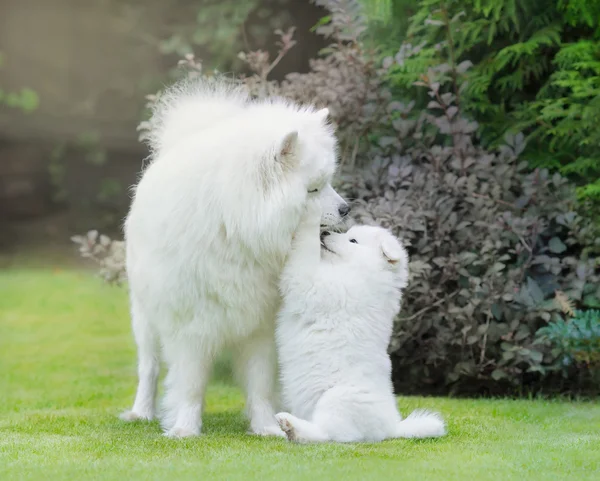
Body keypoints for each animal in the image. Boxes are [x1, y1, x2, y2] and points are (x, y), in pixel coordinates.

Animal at [120, 79, 346, 438]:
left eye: (328, 182)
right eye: (312, 190)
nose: (346, 209)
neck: (234, 227)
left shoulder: (260, 325)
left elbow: (260, 384)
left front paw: (267, 428)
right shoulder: (190, 326)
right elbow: (191, 384)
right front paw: (185, 428)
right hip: (144, 317)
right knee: (149, 367)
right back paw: (140, 412)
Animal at [276, 202, 446, 442]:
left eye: (353, 241)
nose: (324, 234)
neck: (363, 271)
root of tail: (391, 428)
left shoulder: (317, 285)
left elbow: (305, 255)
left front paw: (311, 214)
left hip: (336, 399)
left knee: (328, 435)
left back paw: (292, 426)